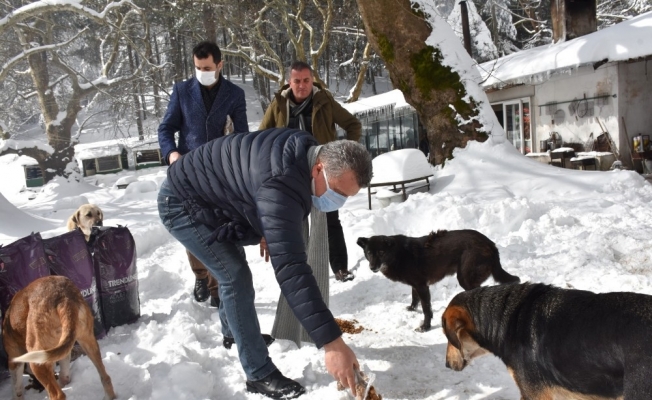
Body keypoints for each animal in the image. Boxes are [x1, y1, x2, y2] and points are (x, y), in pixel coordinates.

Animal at [356, 230, 520, 332]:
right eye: (369, 252)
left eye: (381, 252)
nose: (372, 267)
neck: (398, 254)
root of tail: (490, 244)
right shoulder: (416, 285)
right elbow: (414, 298)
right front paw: (412, 308)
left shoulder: (422, 286)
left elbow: (426, 309)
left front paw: (425, 327)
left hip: (465, 278)